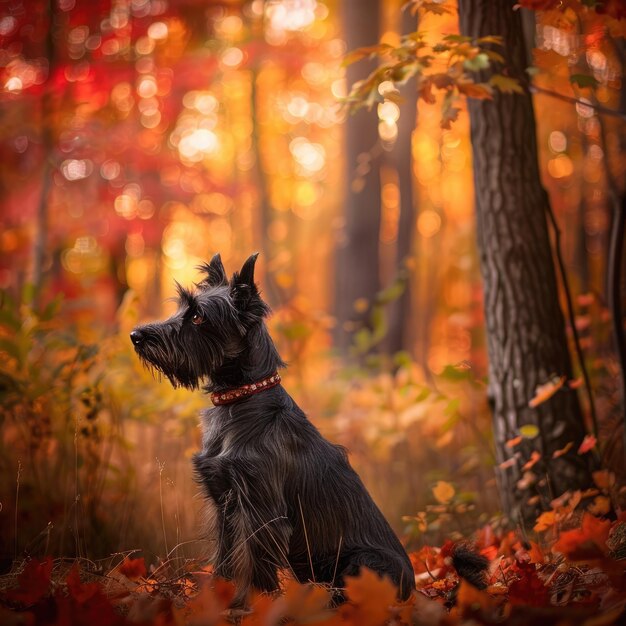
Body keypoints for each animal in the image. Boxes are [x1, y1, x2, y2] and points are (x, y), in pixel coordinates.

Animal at [130, 251, 414, 604]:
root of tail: (413, 586)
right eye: (182, 308)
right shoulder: (224, 503)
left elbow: (254, 566)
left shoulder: (260, 509)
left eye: (197, 317)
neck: (240, 398)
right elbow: (225, 559)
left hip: (363, 562)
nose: (136, 336)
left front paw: (250, 605)